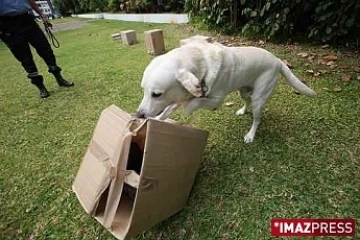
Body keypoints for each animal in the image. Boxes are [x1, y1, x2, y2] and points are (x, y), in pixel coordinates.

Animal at [136, 39, 316, 142]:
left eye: (156, 94)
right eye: (143, 90)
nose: (139, 115)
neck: (202, 63)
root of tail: (278, 61)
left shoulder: (215, 100)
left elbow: (193, 102)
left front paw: (187, 108)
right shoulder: (180, 95)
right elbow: (171, 107)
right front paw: (157, 119)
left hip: (259, 98)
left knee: (257, 119)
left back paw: (250, 135)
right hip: (243, 91)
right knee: (246, 101)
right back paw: (243, 111)